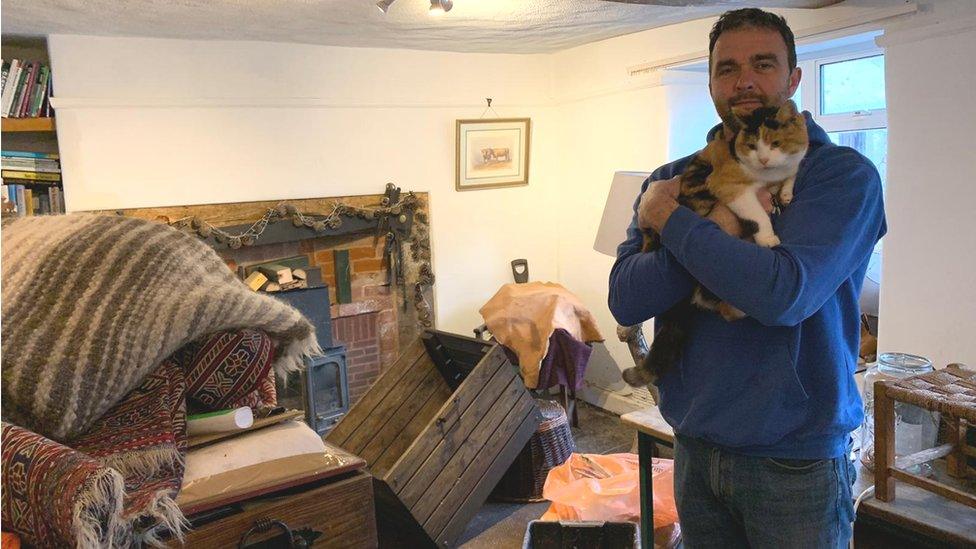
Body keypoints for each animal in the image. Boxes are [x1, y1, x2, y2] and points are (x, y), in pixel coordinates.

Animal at [620, 99, 812, 390]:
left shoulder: (788, 167)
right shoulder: (730, 186)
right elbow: (757, 214)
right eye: (752, 146)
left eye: (776, 143)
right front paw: (768, 237)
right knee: (721, 307)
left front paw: (786, 193)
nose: (763, 159)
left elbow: (791, 175)